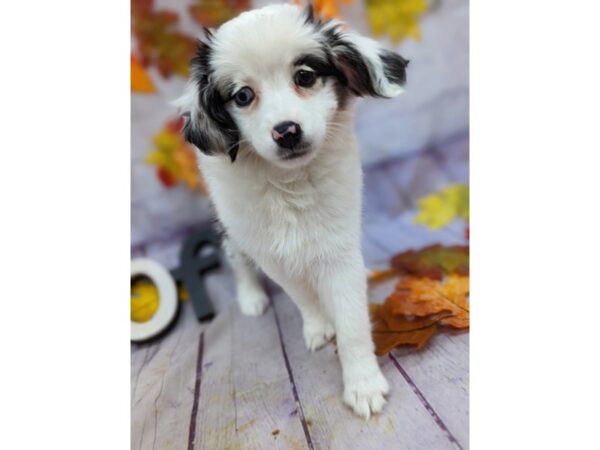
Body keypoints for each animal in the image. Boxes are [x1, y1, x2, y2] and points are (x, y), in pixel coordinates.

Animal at [175, 3, 408, 418]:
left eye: (305, 76)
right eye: (243, 96)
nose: (287, 131)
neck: (290, 183)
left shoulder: (339, 245)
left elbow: (352, 320)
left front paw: (363, 383)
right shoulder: (268, 251)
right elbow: (302, 295)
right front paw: (317, 326)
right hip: (231, 228)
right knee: (236, 260)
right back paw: (251, 298)